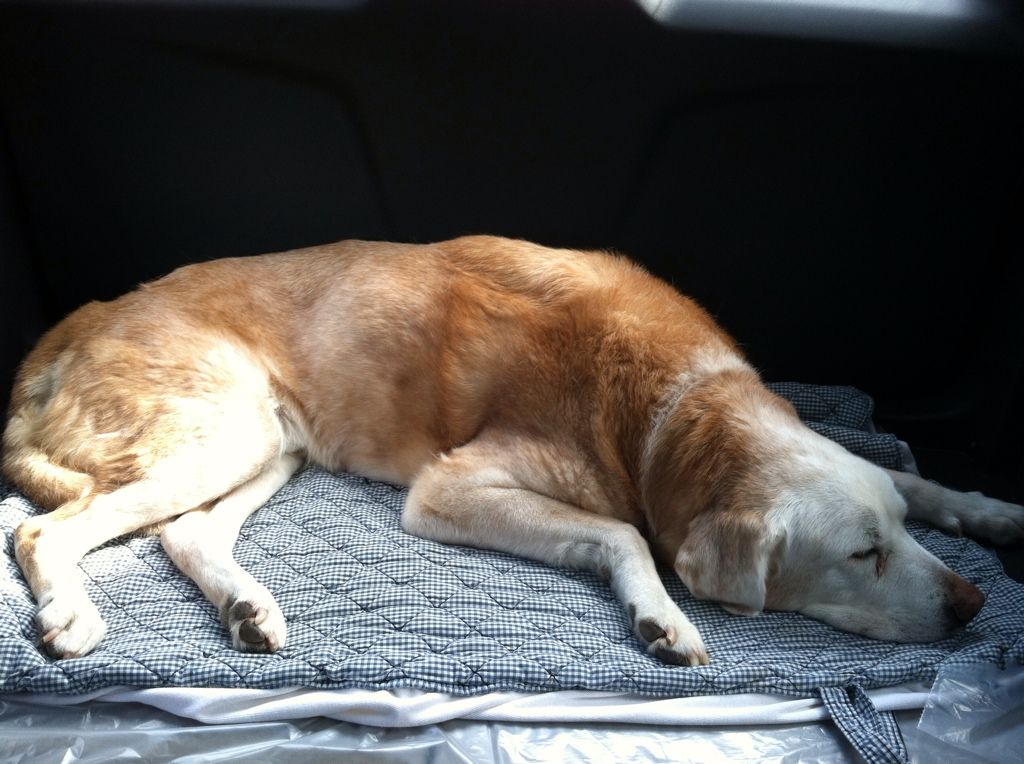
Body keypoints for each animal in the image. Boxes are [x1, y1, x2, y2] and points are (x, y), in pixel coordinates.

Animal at [4, 237, 1019, 659]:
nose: (975, 606)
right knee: (43, 531)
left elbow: (908, 472)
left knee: (186, 535)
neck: (682, 407)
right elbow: (623, 533)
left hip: (271, 446)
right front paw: (661, 615)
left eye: (898, 533)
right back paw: (72, 613)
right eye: (861, 555)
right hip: (228, 432)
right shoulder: (451, 489)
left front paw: (991, 509)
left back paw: (249, 608)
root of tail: (64, 330)